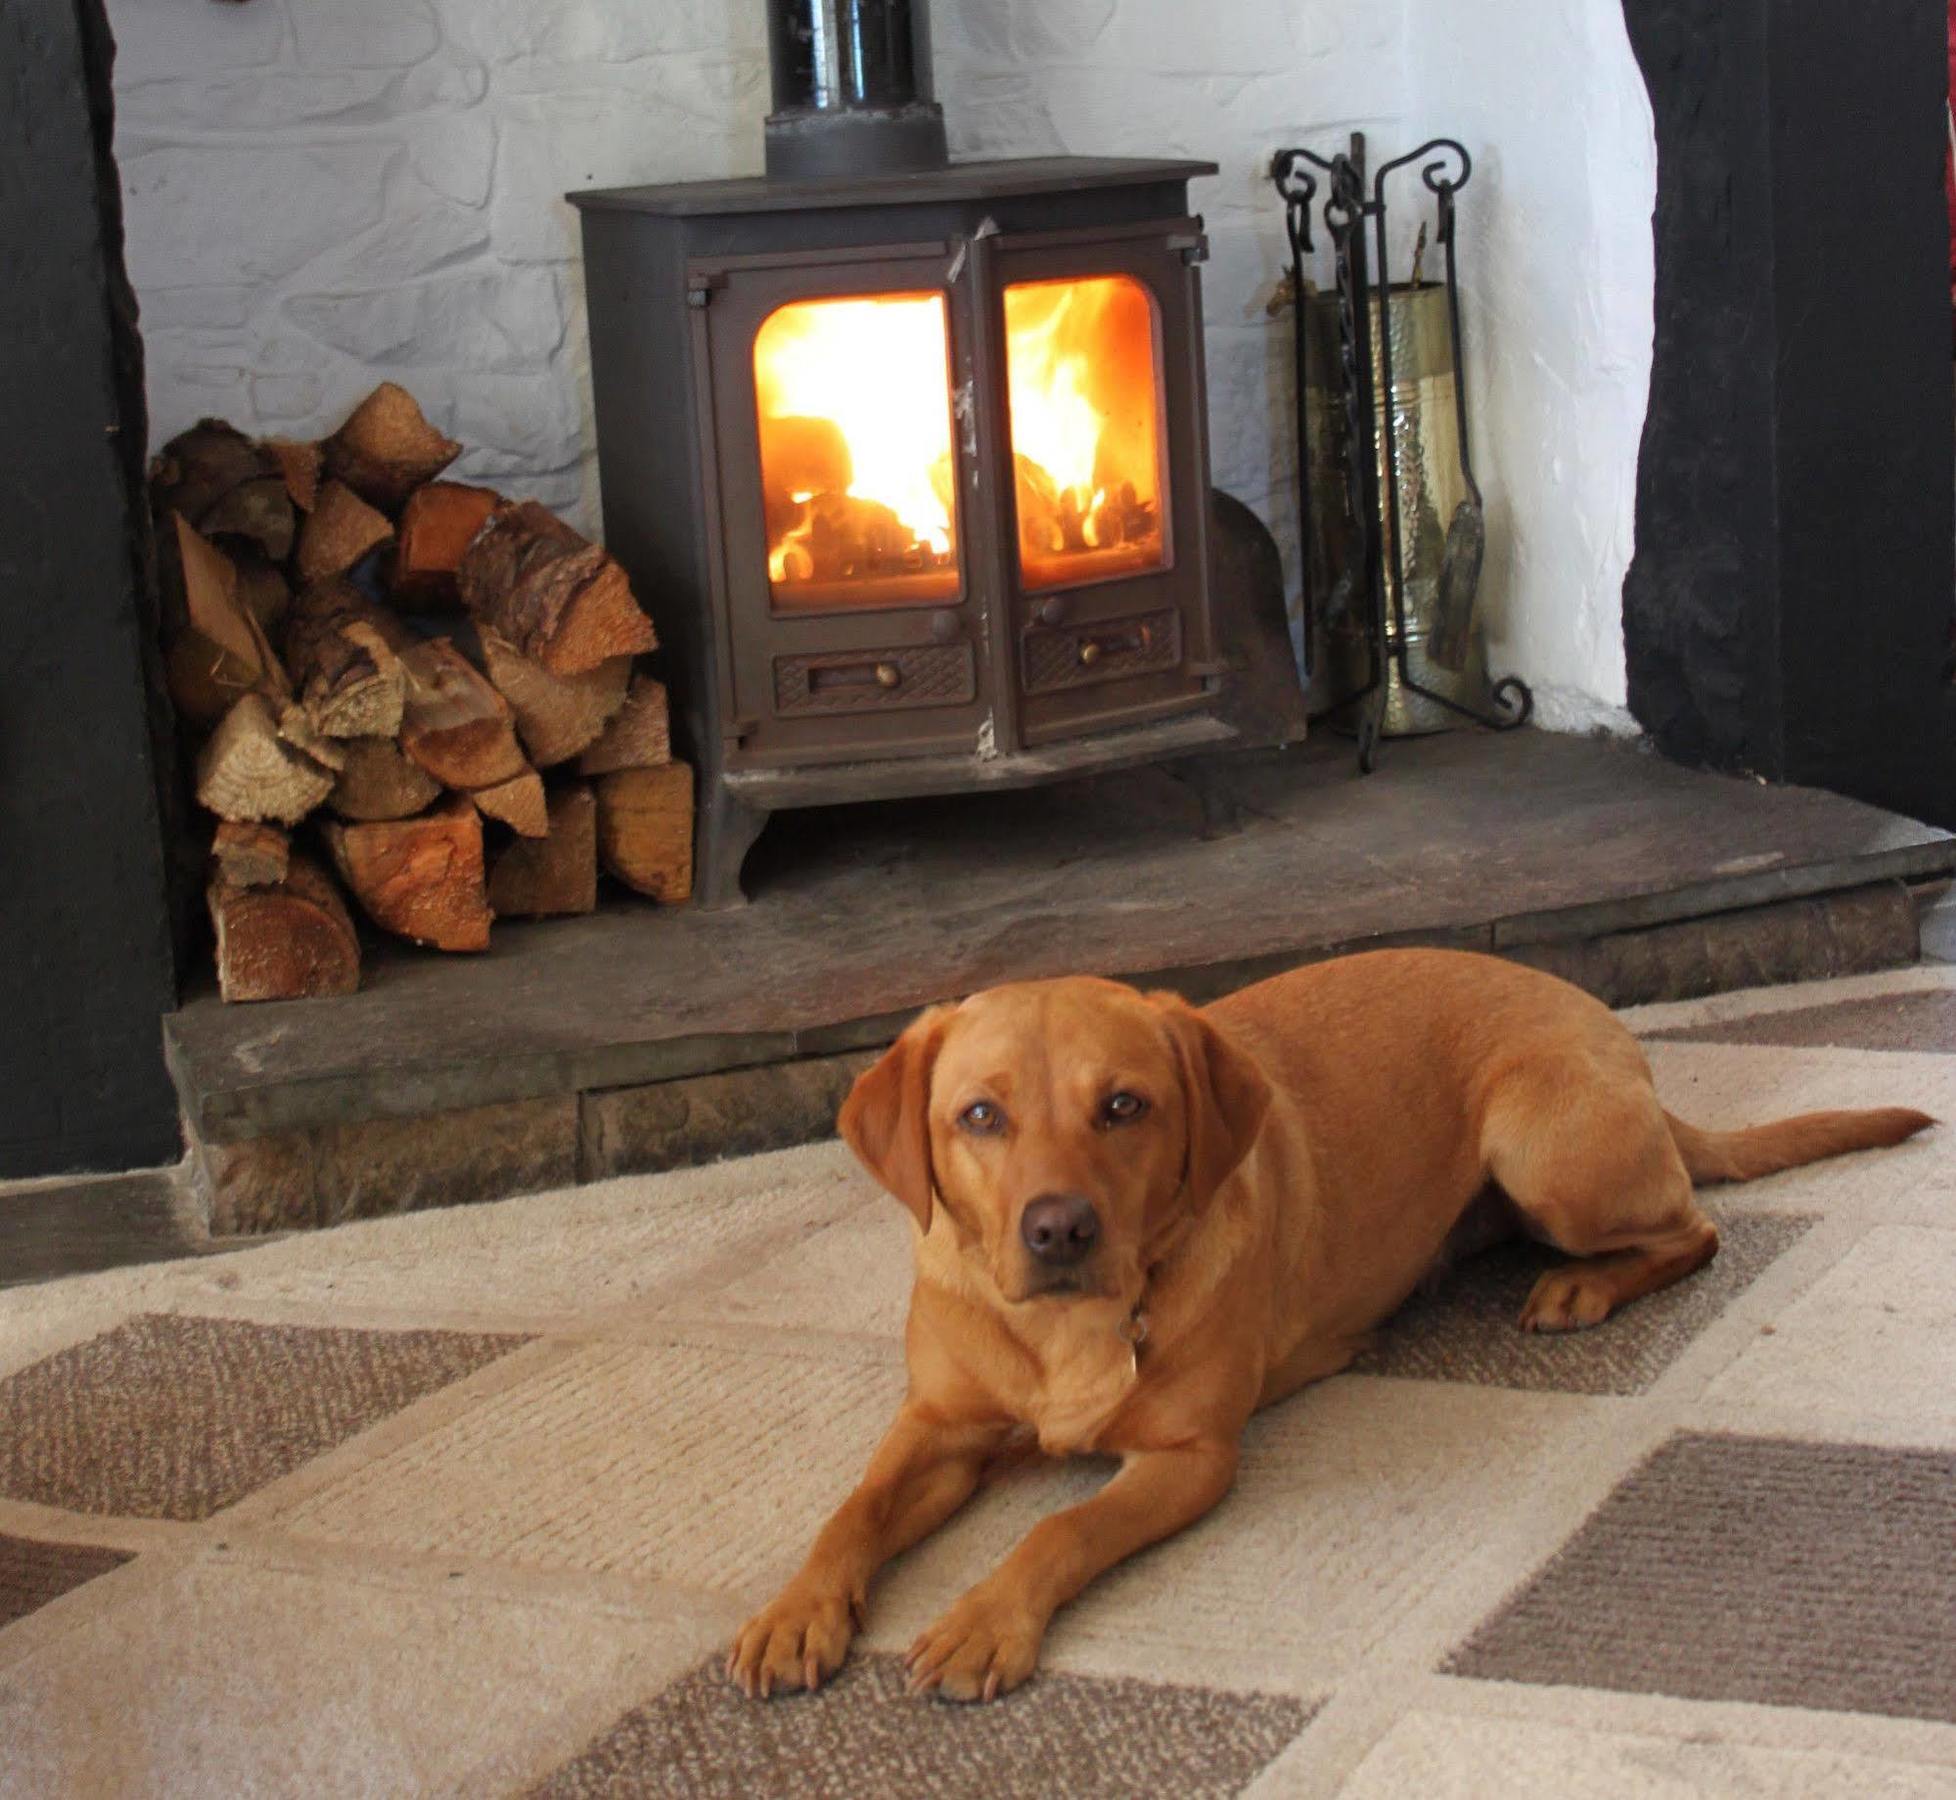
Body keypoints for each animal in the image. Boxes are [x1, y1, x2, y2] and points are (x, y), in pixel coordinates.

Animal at [723, 954, 1924, 1698]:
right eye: (980, 1115)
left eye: (1123, 1106)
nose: (1059, 1228)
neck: (1073, 1330)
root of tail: (1614, 1037)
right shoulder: (937, 1431)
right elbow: (851, 1512)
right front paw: (795, 1611)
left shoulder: (1191, 1458)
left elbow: (1060, 1529)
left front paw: (984, 1620)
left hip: (1545, 1147)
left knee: (1696, 1230)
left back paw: (1580, 1288)